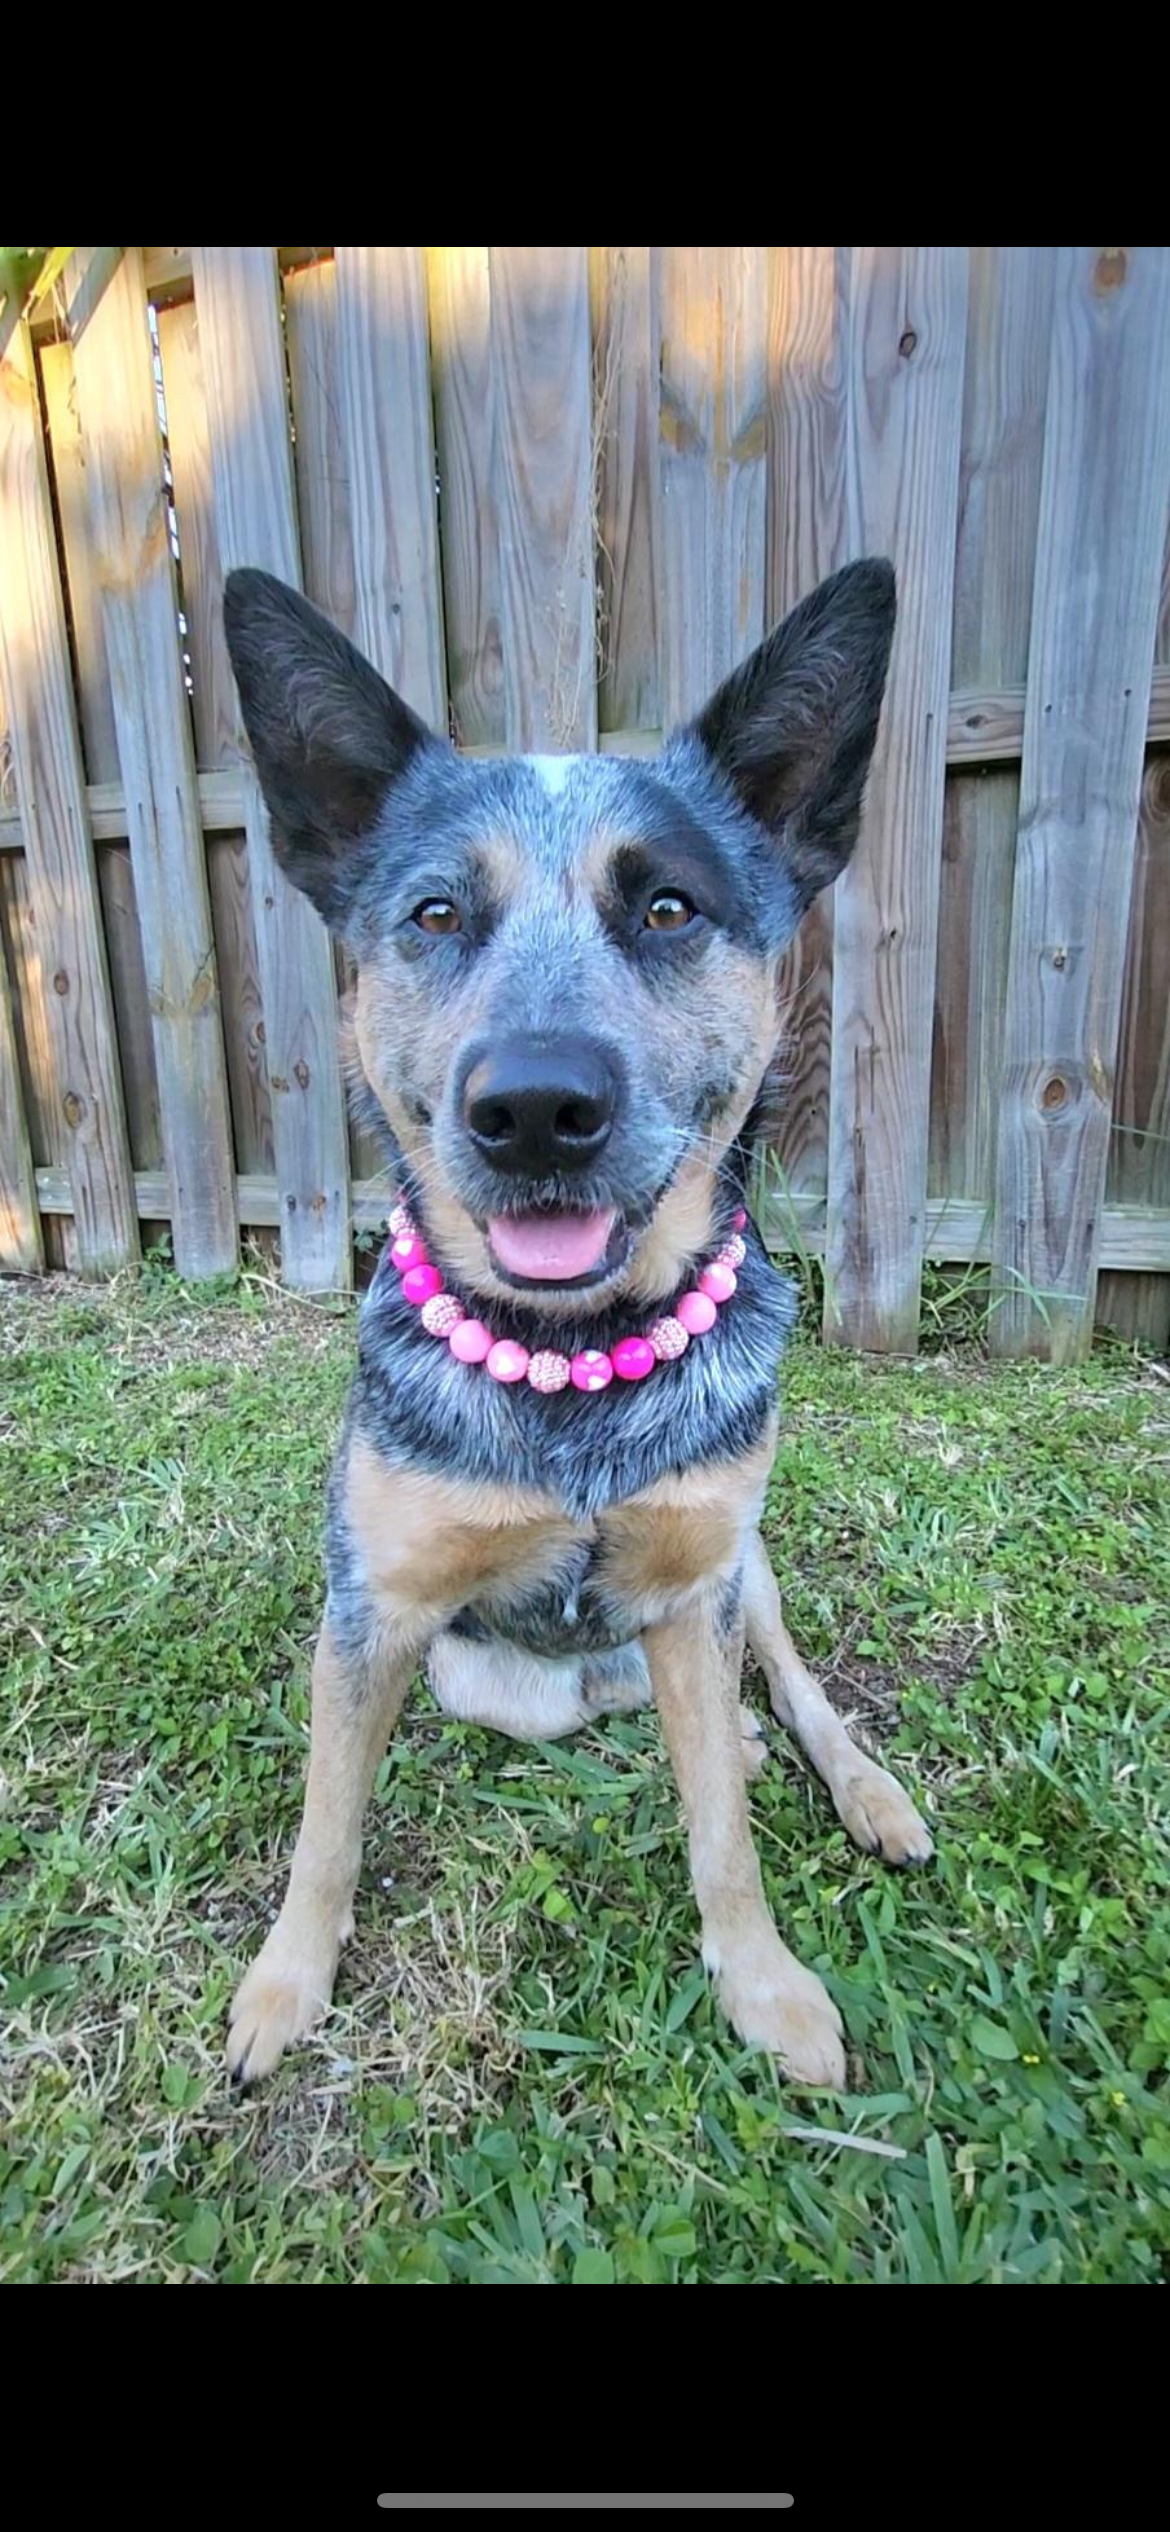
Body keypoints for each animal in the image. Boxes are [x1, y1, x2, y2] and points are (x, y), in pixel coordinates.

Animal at [219, 564, 931, 2086]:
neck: (573, 1369)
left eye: (666, 907)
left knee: (787, 1684)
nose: (536, 1108)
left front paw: (764, 1985)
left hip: (746, 1568)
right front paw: (286, 1983)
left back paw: (850, 1779)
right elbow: (325, 1826)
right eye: (434, 914)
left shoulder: (696, 1573)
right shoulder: (373, 1610)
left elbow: (722, 1836)